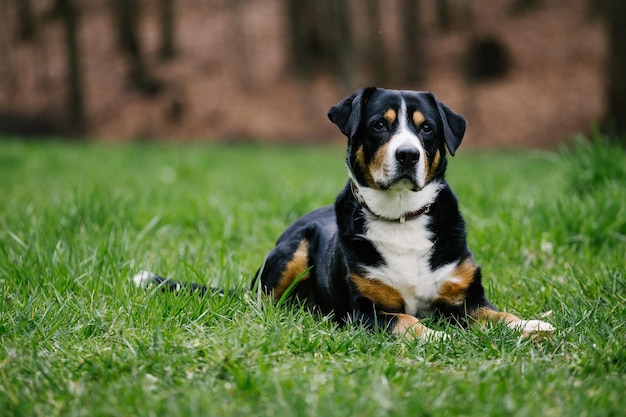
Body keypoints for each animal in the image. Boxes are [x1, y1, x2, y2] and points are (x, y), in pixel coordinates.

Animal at [134, 87, 552, 338]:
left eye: (427, 129)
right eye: (380, 125)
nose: (408, 155)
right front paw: (434, 334)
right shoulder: (363, 311)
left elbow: (499, 315)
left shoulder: (466, 299)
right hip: (292, 252)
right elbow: (407, 320)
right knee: (261, 301)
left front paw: (532, 324)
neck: (401, 217)